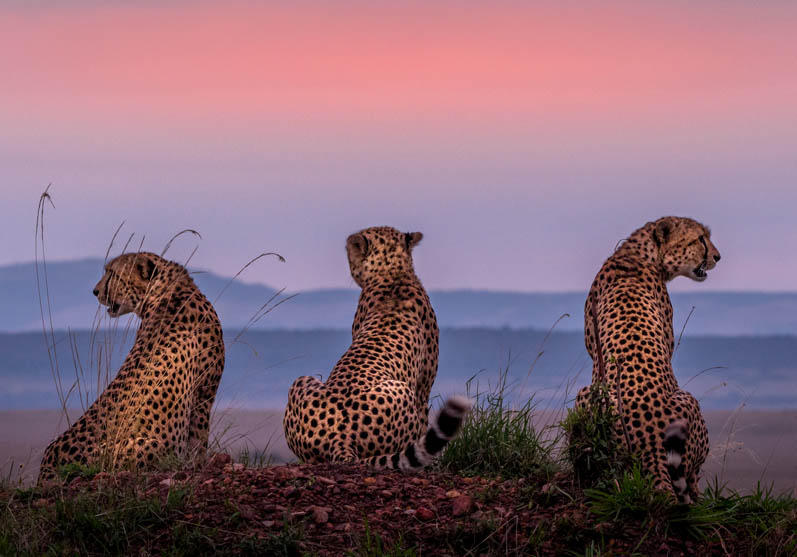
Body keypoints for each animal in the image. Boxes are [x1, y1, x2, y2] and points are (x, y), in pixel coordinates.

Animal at [40, 252, 227, 482]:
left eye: (113, 273)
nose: (95, 291)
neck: (165, 291)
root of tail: (49, 463)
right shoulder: (203, 395)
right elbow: (199, 441)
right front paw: (198, 465)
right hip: (150, 444)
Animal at [282, 226, 470, 470]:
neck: (392, 273)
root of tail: (340, 437)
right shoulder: (422, 388)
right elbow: (424, 422)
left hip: (302, 381)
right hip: (403, 390)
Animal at [576, 215, 720, 502]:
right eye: (700, 238)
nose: (717, 257)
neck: (637, 253)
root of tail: (650, 442)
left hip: (587, 395)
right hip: (687, 401)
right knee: (691, 478)